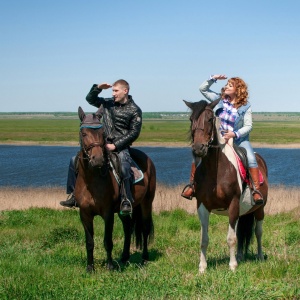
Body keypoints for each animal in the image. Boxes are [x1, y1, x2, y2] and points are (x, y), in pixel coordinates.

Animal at [74, 106, 156, 270]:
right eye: (84, 133)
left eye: (102, 133)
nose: (98, 159)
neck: (91, 181)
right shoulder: (84, 214)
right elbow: (89, 242)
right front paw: (90, 268)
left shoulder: (108, 213)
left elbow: (108, 241)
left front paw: (110, 266)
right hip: (124, 209)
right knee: (127, 226)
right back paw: (124, 257)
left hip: (146, 202)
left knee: (144, 228)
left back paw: (144, 259)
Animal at [184, 99, 268, 274]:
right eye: (190, 119)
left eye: (210, 119)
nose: (198, 149)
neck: (214, 171)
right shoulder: (202, 206)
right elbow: (204, 239)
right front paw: (202, 267)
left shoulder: (233, 204)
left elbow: (231, 238)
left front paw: (232, 265)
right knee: (241, 232)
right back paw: (241, 256)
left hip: (259, 209)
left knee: (258, 232)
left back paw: (260, 256)